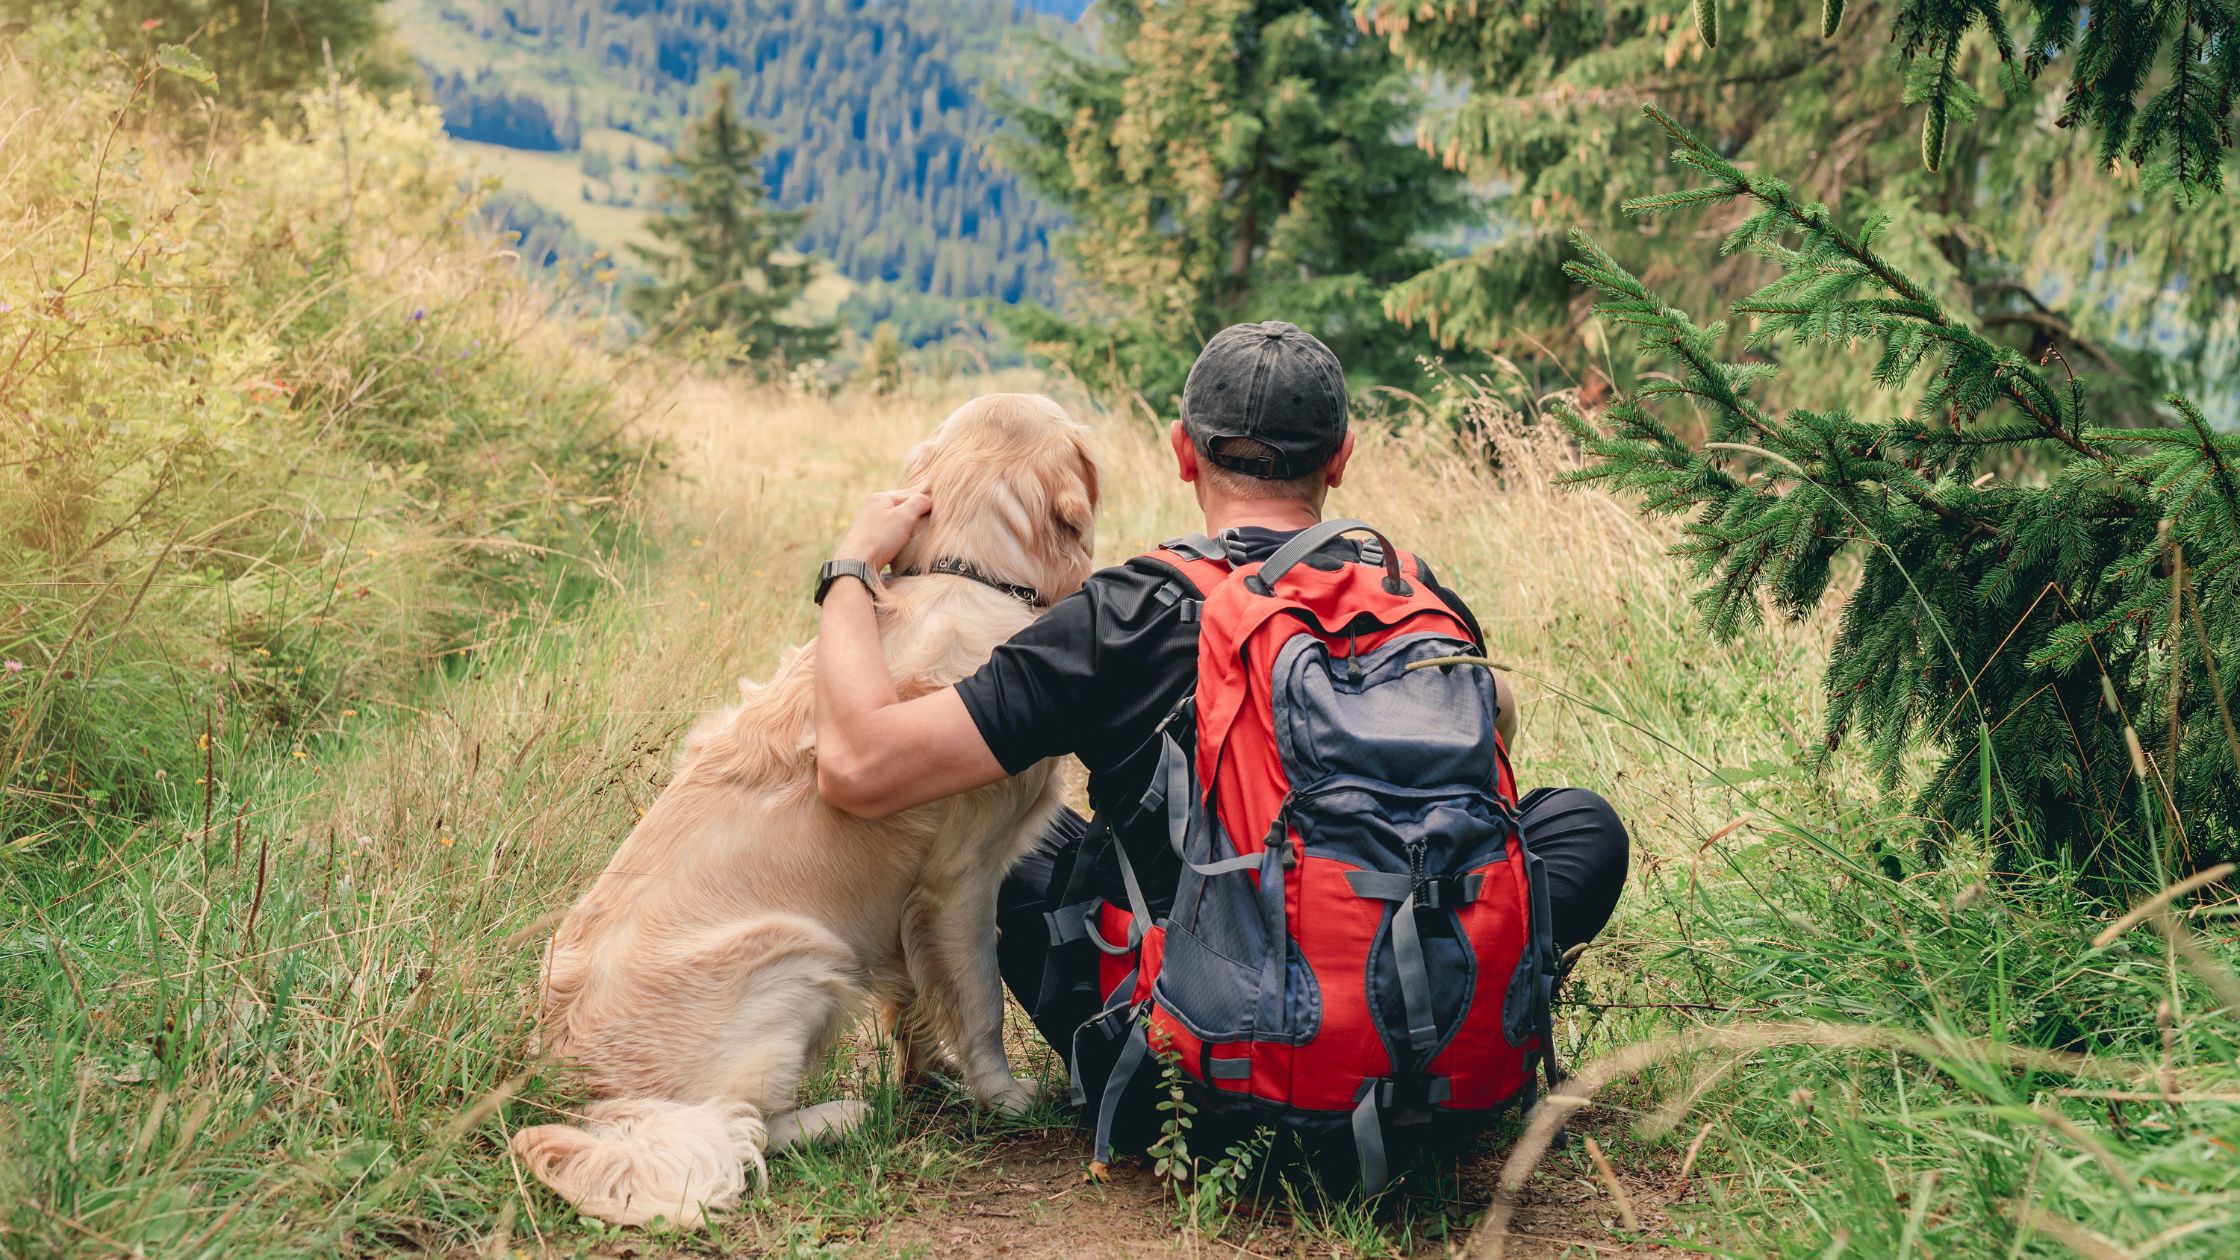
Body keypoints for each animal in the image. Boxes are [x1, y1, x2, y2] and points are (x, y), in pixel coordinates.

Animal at [515, 390, 1093, 1219]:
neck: (970, 573)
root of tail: (597, 1098)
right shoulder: (962, 878)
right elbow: (980, 1001)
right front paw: (1005, 1097)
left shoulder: (908, 906)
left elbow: (915, 1002)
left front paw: (931, 1078)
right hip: (803, 956)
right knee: (745, 1125)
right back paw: (843, 1115)